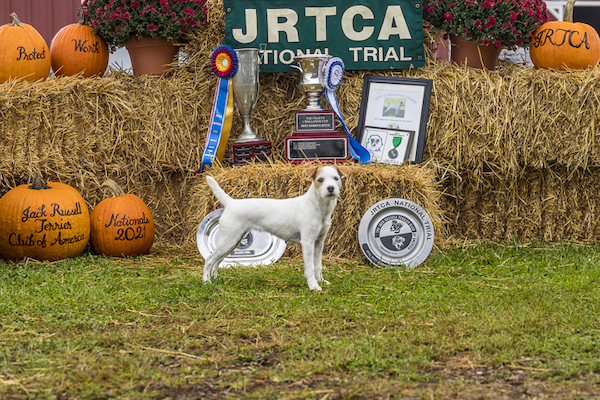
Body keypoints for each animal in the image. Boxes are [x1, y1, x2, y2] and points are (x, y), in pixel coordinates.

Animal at [204, 166, 346, 290]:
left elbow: (318, 265)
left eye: (336, 178)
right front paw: (314, 286)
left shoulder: (318, 242)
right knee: (209, 260)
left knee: (217, 261)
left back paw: (216, 279)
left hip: (232, 242)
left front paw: (321, 281)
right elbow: (310, 267)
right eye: (320, 179)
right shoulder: (308, 242)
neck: (317, 206)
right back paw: (206, 282)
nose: (331, 188)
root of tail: (231, 202)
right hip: (228, 241)